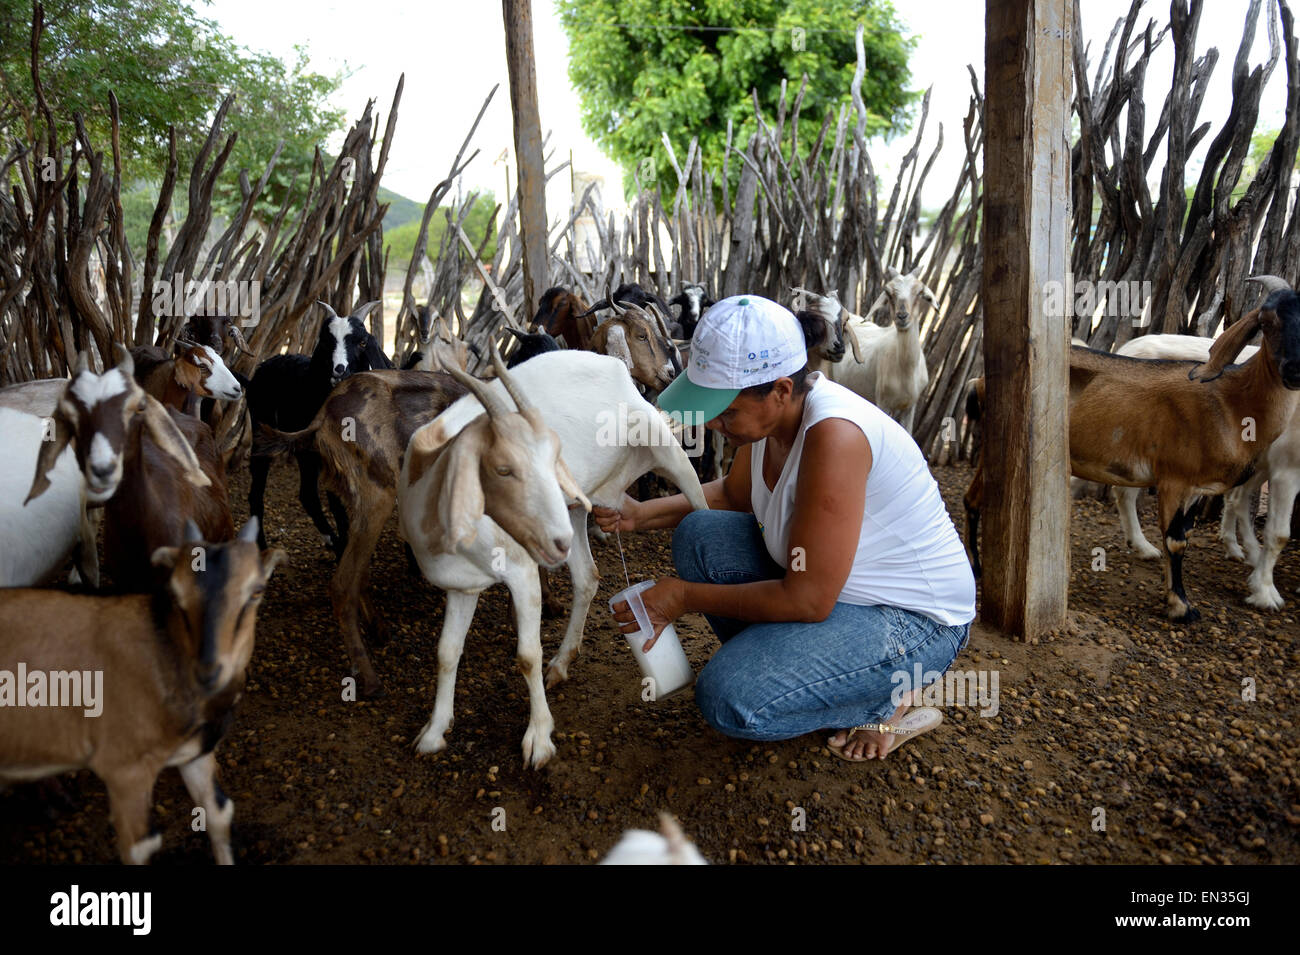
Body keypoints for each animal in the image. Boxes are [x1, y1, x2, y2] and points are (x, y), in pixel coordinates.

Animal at [400, 348, 712, 764]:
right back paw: (562, 663)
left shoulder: (521, 571)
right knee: (588, 577)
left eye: (552, 459)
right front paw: (434, 732)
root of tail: (614, 367)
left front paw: (539, 739)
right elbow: (447, 651)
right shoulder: (463, 585)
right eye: (503, 468)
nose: (554, 542)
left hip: (667, 451)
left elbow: (527, 655)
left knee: (703, 505)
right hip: (577, 507)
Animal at [821, 267, 935, 433]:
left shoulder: (910, 407)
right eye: (888, 292)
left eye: (920, 292)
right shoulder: (883, 403)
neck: (907, 369)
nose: (902, 316)